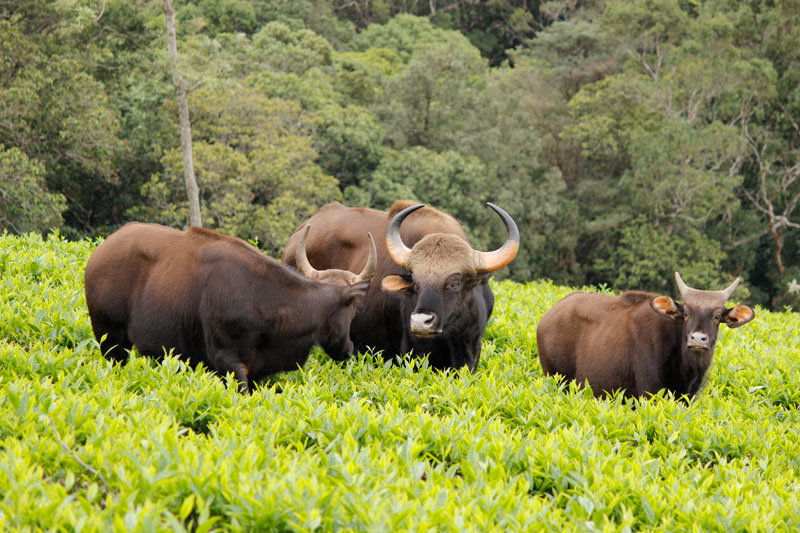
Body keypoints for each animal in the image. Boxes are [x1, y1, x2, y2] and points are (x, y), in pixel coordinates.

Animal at [83, 220, 376, 390]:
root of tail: (99, 253)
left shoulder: (257, 372)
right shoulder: (229, 364)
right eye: (354, 307)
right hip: (110, 342)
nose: (348, 349)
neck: (266, 301)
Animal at [536, 272, 756, 396]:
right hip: (556, 379)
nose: (697, 339)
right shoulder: (648, 393)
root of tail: (547, 316)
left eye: (717, 316)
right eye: (685, 313)